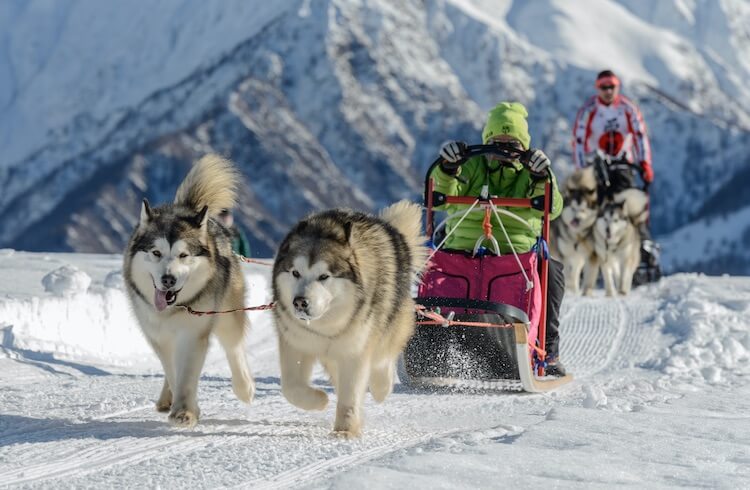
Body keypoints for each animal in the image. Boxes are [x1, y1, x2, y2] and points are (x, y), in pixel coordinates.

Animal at [122, 155, 254, 426]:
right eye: (156, 252)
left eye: (183, 255)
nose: (168, 279)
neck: (171, 311)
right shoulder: (158, 335)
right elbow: (173, 371)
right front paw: (182, 405)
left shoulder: (193, 333)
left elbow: (187, 374)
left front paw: (185, 411)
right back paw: (166, 399)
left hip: (227, 313)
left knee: (234, 347)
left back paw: (244, 387)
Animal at [274, 201, 428, 438]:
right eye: (295, 273)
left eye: (324, 276)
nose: (299, 302)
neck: (326, 326)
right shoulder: (296, 342)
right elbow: (290, 387)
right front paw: (320, 400)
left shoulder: (355, 350)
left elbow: (351, 394)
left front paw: (345, 431)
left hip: (388, 324)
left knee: (383, 358)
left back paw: (381, 386)